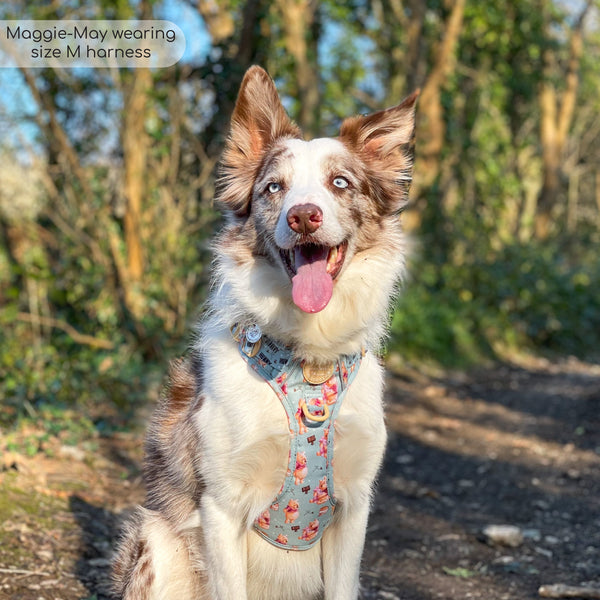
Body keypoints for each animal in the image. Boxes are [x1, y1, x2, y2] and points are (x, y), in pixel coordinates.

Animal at [110, 65, 414, 600]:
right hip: (156, 541)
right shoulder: (221, 505)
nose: (304, 215)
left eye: (340, 183)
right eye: (274, 188)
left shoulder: (354, 506)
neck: (307, 360)